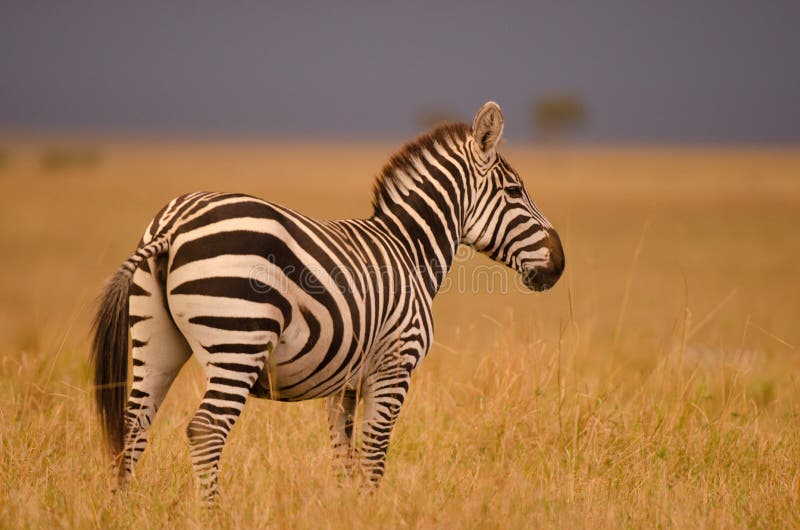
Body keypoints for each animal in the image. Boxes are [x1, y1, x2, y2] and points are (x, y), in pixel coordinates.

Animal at [92, 100, 564, 500]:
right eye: (515, 192)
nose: (560, 263)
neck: (408, 249)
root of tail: (174, 224)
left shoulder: (344, 385)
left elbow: (344, 457)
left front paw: (346, 508)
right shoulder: (395, 365)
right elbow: (374, 454)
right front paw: (372, 510)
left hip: (156, 339)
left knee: (132, 425)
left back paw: (122, 509)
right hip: (238, 341)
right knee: (206, 429)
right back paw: (212, 512)